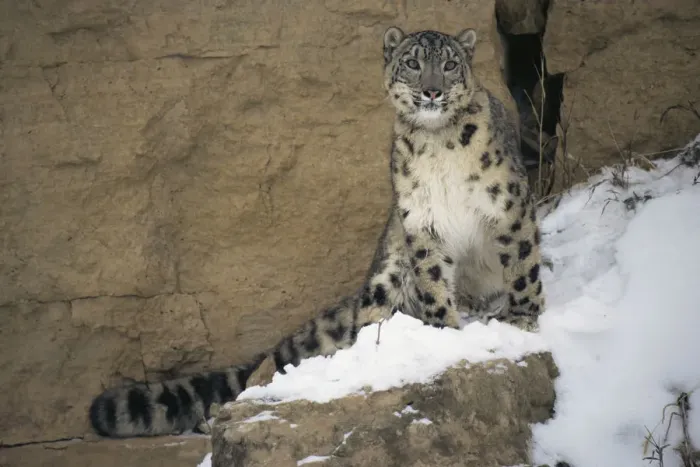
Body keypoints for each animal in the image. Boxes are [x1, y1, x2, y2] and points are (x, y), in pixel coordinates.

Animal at [89, 26, 545, 438]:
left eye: (449, 65)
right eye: (413, 63)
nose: (432, 91)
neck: (439, 144)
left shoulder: (508, 206)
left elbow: (522, 264)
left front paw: (522, 318)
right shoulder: (421, 223)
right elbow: (433, 283)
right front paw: (444, 334)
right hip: (385, 277)